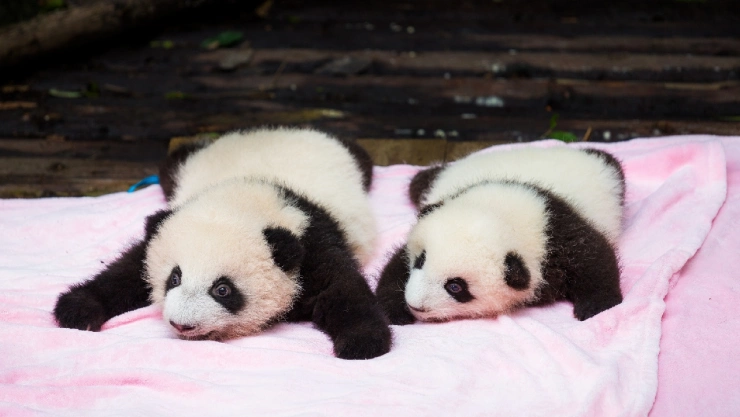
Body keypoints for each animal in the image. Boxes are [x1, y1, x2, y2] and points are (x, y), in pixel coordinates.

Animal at [53, 127, 392, 360]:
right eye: (174, 278)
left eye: (223, 290)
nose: (182, 325)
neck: (250, 192)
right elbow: (126, 272)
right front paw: (77, 308)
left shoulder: (312, 240)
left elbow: (340, 290)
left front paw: (363, 341)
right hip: (185, 167)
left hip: (346, 157)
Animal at [375, 145, 625, 325]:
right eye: (420, 261)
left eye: (456, 287)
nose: (415, 305)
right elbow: (395, 264)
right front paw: (394, 310)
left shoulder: (555, 228)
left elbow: (593, 255)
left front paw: (595, 305)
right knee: (422, 180)